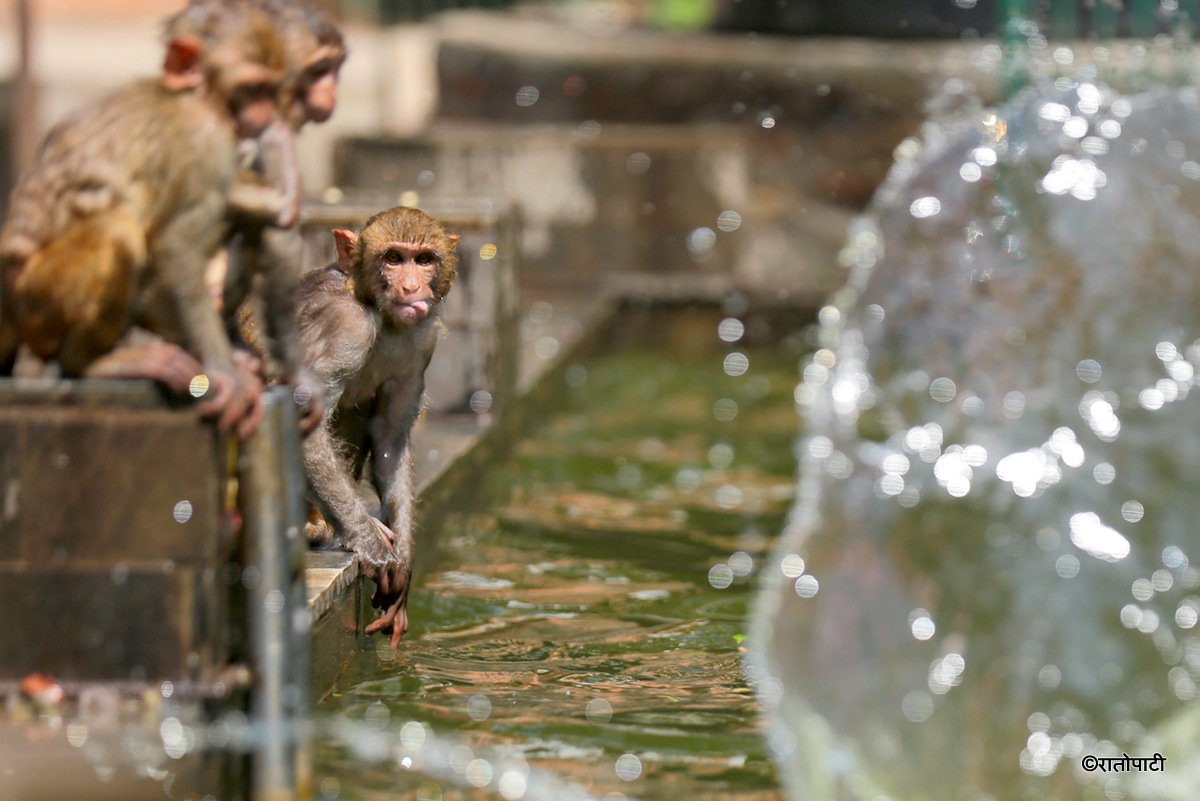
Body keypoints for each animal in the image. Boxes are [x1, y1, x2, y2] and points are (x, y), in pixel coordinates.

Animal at [0, 3, 292, 437]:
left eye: (271, 90)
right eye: (253, 88)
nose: (266, 114)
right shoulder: (207, 143)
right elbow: (177, 247)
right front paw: (226, 371)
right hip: (37, 303)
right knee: (119, 228)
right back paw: (91, 364)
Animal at [291, 207, 459, 648]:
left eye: (425, 259)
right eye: (393, 258)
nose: (412, 287)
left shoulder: (422, 340)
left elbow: (390, 434)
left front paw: (404, 560)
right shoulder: (344, 327)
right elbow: (305, 421)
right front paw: (372, 545)